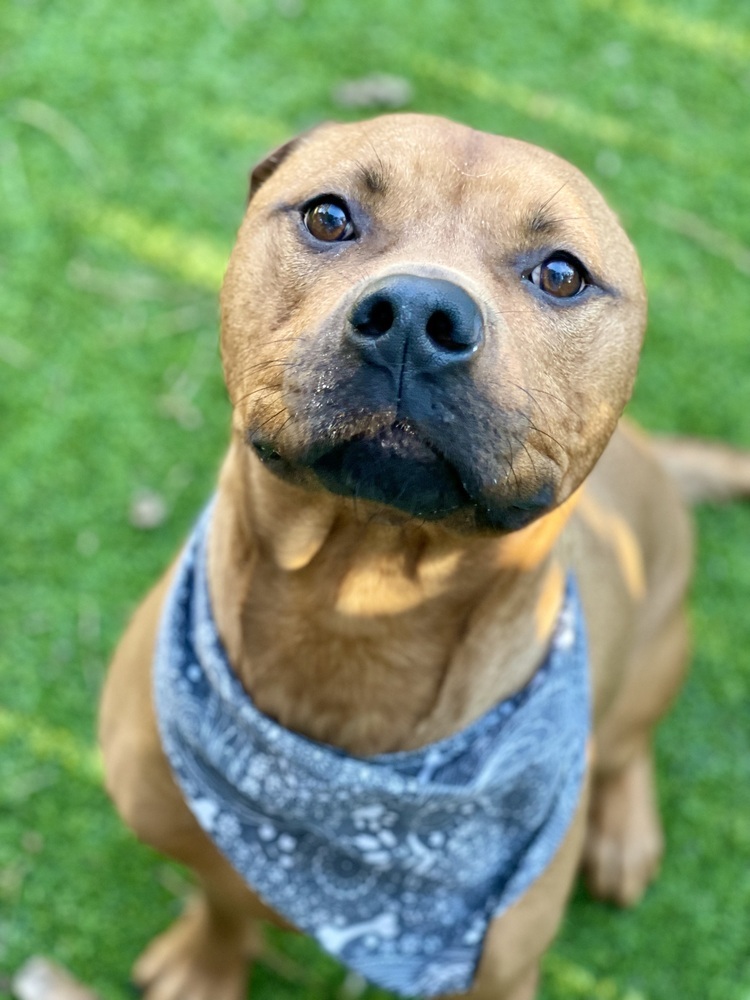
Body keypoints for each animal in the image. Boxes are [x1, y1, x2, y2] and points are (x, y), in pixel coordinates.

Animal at [100, 115, 750, 1000]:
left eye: (561, 273)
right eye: (328, 216)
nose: (415, 314)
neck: (359, 612)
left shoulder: (501, 971)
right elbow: (224, 895)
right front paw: (209, 961)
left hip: (657, 656)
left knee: (628, 747)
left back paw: (624, 830)